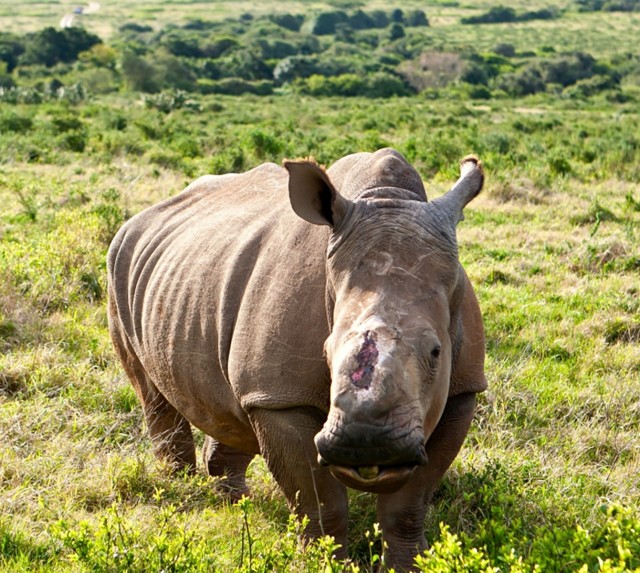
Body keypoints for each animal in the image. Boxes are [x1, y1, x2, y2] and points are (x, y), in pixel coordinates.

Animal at [107, 150, 484, 568]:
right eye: (326, 351)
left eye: (436, 352)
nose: (365, 441)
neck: (390, 199)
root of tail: (139, 218)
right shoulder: (282, 397)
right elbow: (320, 501)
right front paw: (325, 564)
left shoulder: (463, 388)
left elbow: (408, 504)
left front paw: (410, 566)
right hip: (119, 264)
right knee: (153, 394)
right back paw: (179, 492)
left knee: (232, 407)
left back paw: (237, 507)